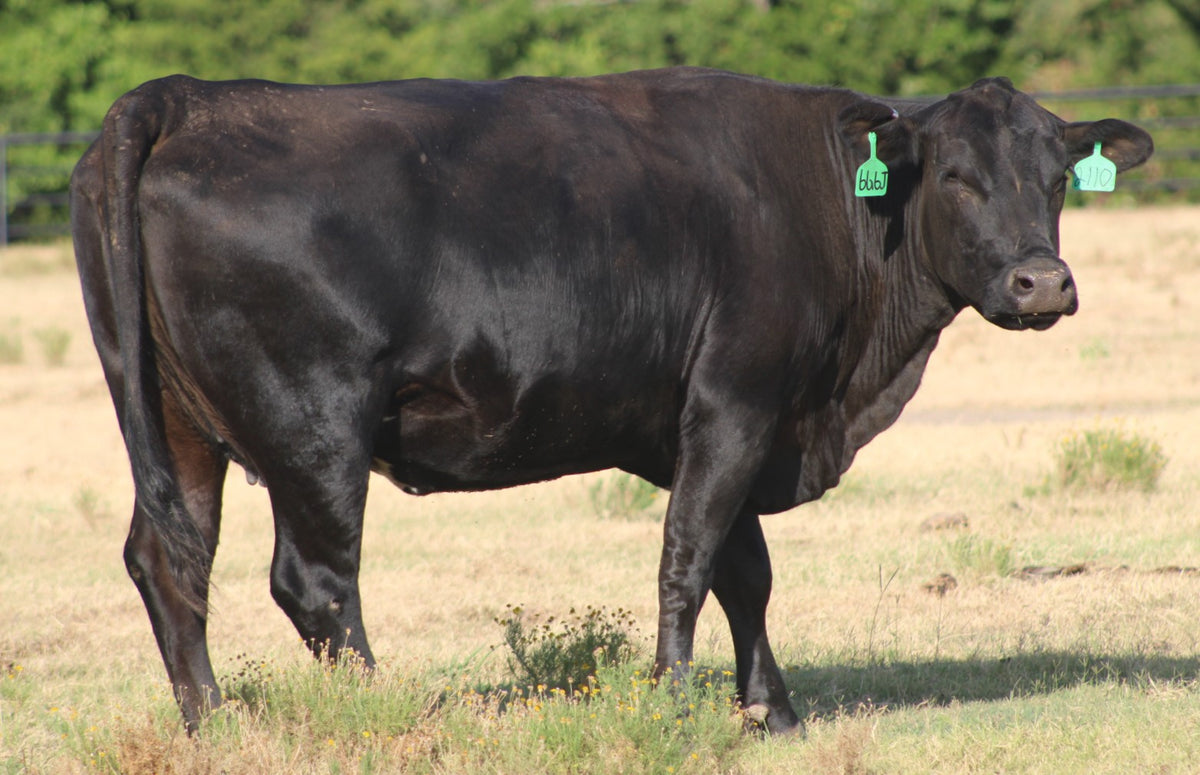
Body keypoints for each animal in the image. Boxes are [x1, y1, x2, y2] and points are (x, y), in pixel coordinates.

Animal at [70, 67, 1153, 733]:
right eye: (959, 177)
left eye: (1059, 177)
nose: (1041, 283)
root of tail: (193, 99)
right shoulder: (735, 400)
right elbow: (690, 559)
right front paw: (674, 701)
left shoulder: (727, 423)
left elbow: (746, 573)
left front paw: (772, 711)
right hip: (312, 423)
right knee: (316, 581)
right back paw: (382, 715)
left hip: (182, 424)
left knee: (171, 562)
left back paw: (210, 723)